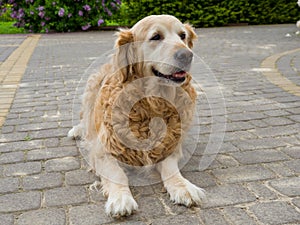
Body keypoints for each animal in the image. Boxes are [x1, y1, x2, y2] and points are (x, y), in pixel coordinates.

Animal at [68, 14, 204, 217]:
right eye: (156, 37)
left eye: (182, 36)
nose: (187, 55)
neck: (152, 104)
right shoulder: (102, 150)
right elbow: (117, 174)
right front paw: (120, 198)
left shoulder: (169, 145)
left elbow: (171, 169)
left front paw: (183, 187)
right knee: (85, 121)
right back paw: (77, 131)